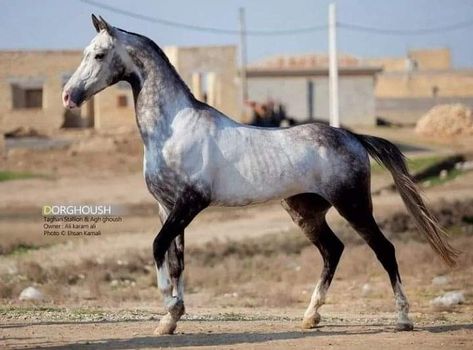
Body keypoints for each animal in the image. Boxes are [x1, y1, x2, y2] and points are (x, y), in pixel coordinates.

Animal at [63, 15, 458, 334]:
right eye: (85, 52)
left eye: (99, 55)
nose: (69, 97)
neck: (173, 127)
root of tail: (354, 137)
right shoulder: (167, 207)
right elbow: (176, 261)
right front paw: (170, 320)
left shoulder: (189, 204)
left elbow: (159, 247)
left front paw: (170, 307)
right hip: (305, 211)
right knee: (333, 250)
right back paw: (310, 318)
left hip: (354, 205)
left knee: (384, 250)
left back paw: (403, 320)